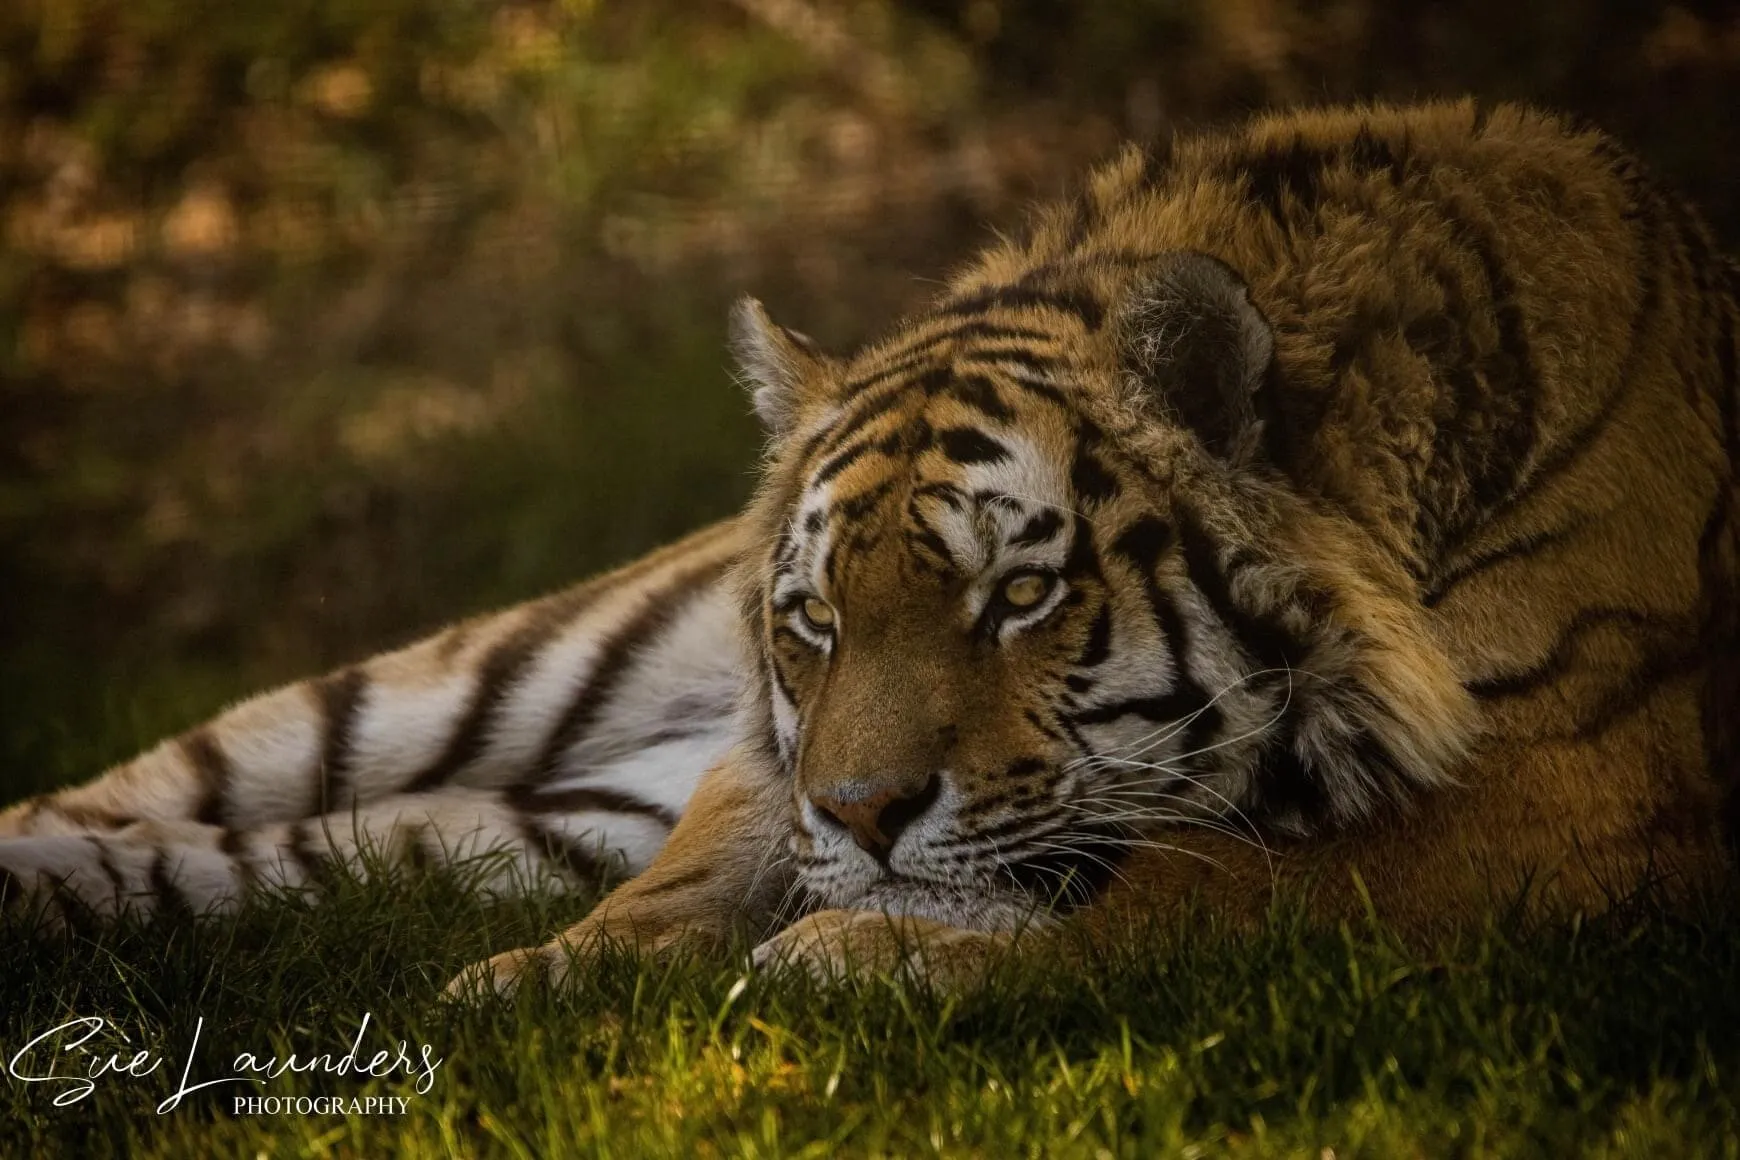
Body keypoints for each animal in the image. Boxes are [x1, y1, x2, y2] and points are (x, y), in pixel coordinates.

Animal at [2, 100, 1736, 997]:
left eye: (1021, 597)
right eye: (815, 622)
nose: (864, 814)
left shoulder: (1556, 800)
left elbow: (1200, 895)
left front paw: (854, 953)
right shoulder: (755, 766)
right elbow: (690, 880)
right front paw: (531, 988)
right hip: (485, 676)